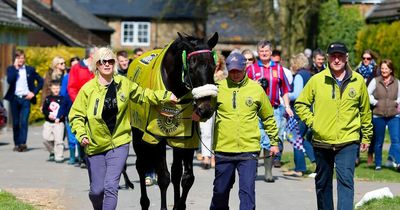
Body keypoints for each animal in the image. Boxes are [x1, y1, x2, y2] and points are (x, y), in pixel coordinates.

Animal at [126, 31, 219, 210]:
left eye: (213, 67)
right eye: (191, 68)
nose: (205, 110)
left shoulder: (187, 140)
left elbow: (187, 178)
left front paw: (179, 205)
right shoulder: (157, 137)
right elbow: (163, 177)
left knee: (176, 172)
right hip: (138, 133)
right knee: (141, 165)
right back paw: (144, 202)